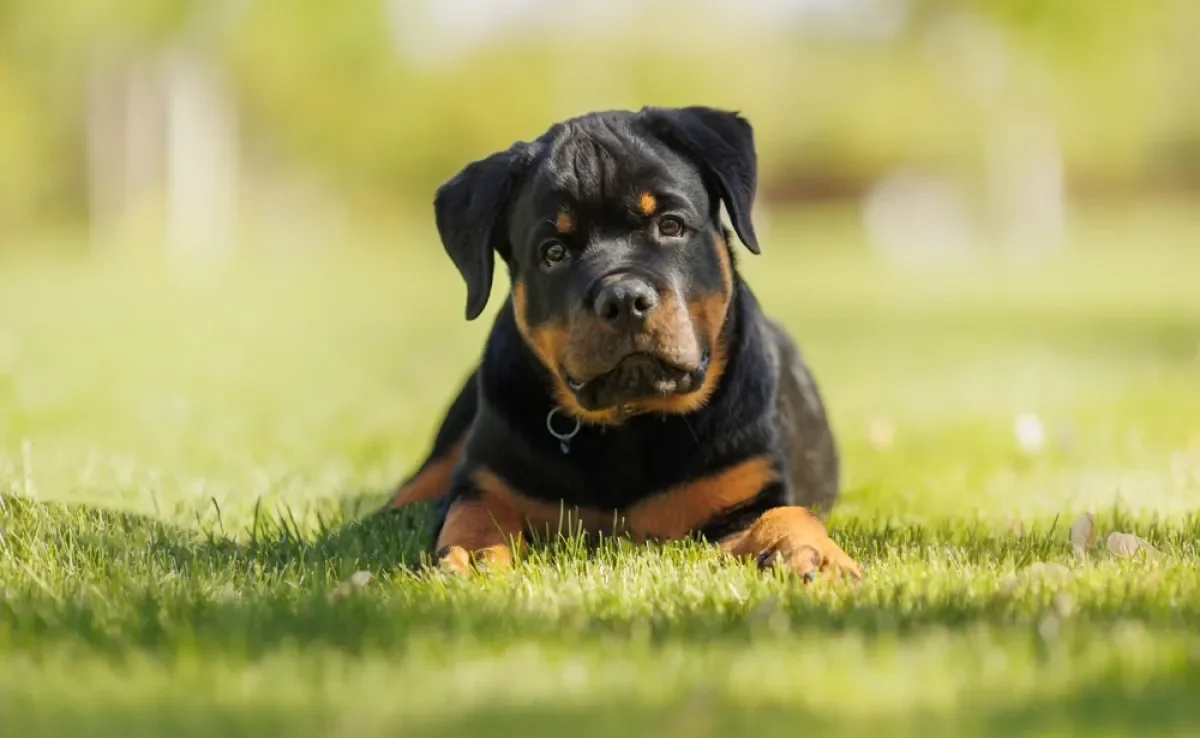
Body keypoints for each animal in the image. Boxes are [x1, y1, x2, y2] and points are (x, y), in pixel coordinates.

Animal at [386, 105, 864, 583]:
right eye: (553, 252)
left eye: (670, 225)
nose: (623, 298)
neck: (631, 424)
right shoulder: (486, 477)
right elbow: (472, 508)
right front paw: (471, 551)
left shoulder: (747, 490)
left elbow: (785, 514)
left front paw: (815, 555)